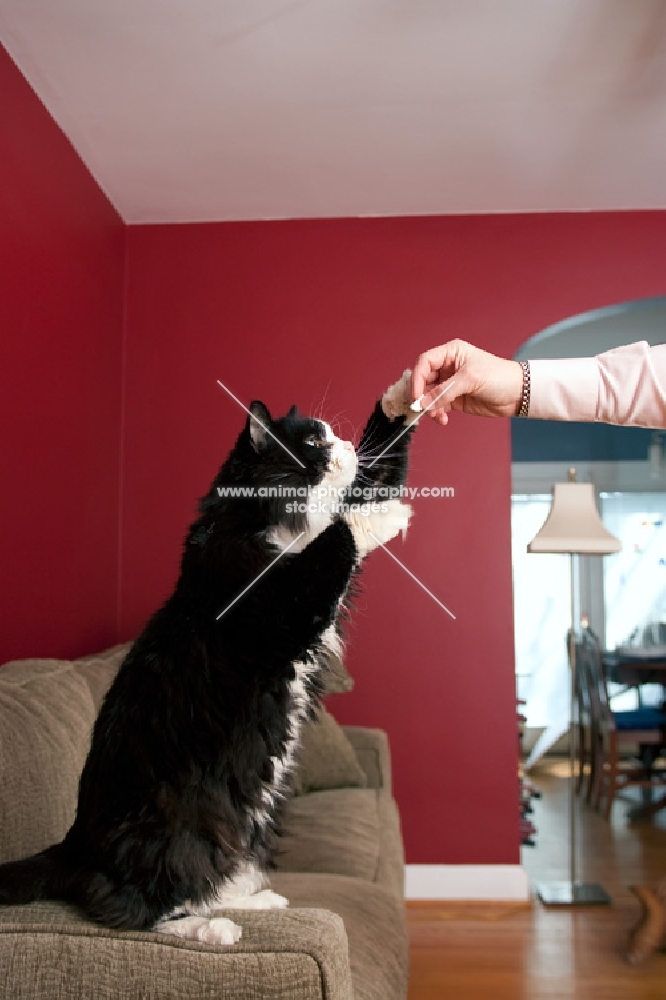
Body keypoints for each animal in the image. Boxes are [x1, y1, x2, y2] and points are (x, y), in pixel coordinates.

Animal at [0, 376, 416, 944]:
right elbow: (339, 535)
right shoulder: (284, 606)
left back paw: (258, 901)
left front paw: (405, 398)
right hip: (178, 833)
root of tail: (75, 842)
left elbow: (378, 471)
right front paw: (388, 516)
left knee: (209, 880)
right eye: (314, 442)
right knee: (132, 909)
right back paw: (214, 929)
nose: (346, 446)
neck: (266, 524)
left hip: (245, 819)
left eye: (334, 436)